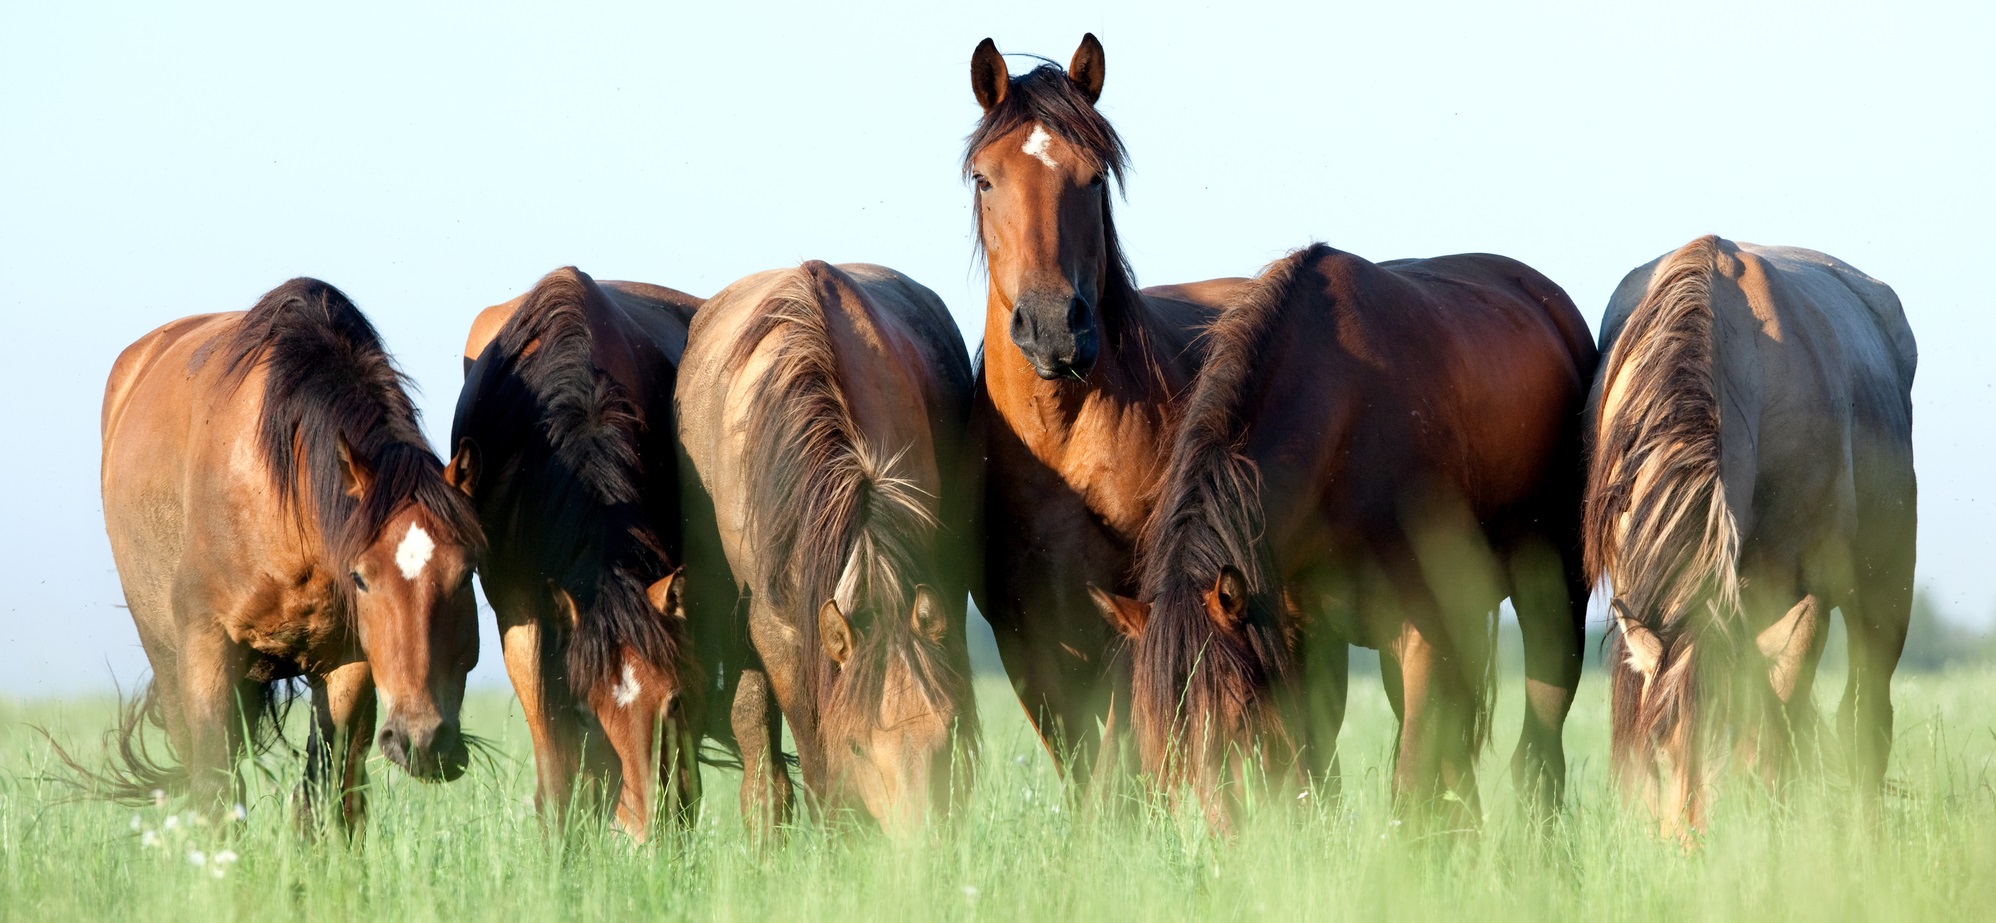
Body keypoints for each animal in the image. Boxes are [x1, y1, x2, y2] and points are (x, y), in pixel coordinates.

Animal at [96, 278, 482, 832]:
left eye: (468, 571)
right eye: (361, 578)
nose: (423, 740)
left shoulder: (348, 663)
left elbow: (324, 793)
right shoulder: (207, 646)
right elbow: (215, 787)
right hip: (167, 660)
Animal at [964, 34, 1256, 785]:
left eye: (1095, 178)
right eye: (984, 179)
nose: (1052, 327)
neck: (1062, 439)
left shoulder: (1134, 616)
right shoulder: (1027, 640)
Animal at [1093, 244, 1597, 832]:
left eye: (1239, 713)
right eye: (1158, 734)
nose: (1221, 838)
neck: (1344, 425)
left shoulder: (1421, 635)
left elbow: (1410, 784)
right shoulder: (1303, 639)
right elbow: (1317, 774)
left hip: (1553, 602)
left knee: (1539, 743)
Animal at [1586, 236, 1917, 837]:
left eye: (1731, 756)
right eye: (1664, 749)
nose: (1692, 848)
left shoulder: (1806, 597)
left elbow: (1780, 720)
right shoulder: (1635, 588)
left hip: (1885, 591)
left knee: (1865, 722)